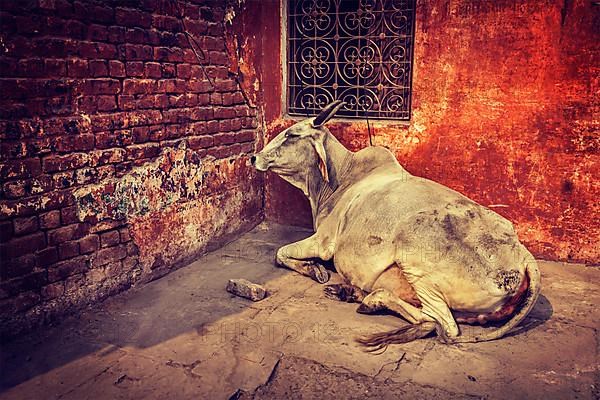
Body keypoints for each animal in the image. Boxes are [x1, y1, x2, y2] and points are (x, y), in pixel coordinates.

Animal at [251, 101, 540, 352]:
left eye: (291, 135)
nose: (254, 157)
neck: (340, 179)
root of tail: (523, 255)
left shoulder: (323, 242)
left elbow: (279, 253)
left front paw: (314, 270)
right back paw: (349, 292)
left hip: (414, 253)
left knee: (437, 323)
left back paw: (370, 299)